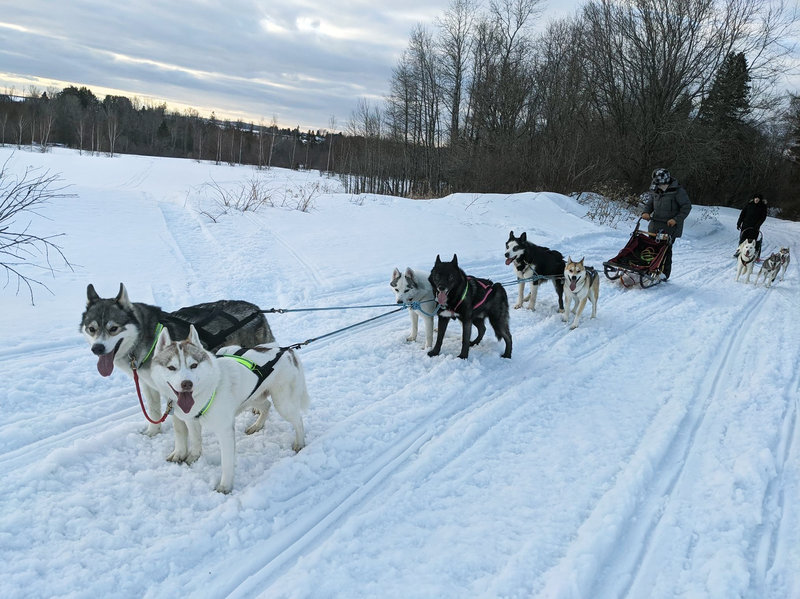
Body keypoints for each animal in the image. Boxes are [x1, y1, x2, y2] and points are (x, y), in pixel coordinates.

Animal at [80, 282, 276, 446]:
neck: (146, 338)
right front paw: (153, 431)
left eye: (113, 328)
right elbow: (153, 410)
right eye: (92, 329)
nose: (97, 348)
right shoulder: (148, 384)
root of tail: (257, 310)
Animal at [151, 326, 310, 494]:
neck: (209, 391)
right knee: (266, 405)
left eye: (193, 365)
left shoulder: (225, 431)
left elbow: (226, 463)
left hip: (282, 403)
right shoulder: (192, 421)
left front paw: (225, 486)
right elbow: (195, 441)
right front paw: (194, 456)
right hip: (253, 397)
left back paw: (300, 443)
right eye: (171, 367)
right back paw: (257, 426)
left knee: (298, 421)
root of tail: (288, 352)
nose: (186, 383)